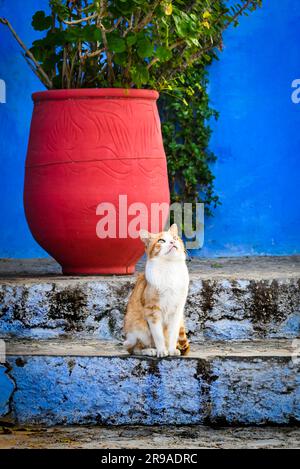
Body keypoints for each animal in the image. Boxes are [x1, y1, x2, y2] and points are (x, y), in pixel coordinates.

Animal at [124, 222, 190, 354]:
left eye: (175, 238)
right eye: (161, 240)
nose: (172, 242)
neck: (170, 267)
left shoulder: (177, 310)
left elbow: (173, 333)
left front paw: (171, 350)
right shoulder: (152, 310)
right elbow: (158, 335)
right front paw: (161, 351)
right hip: (137, 327)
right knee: (134, 348)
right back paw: (150, 350)